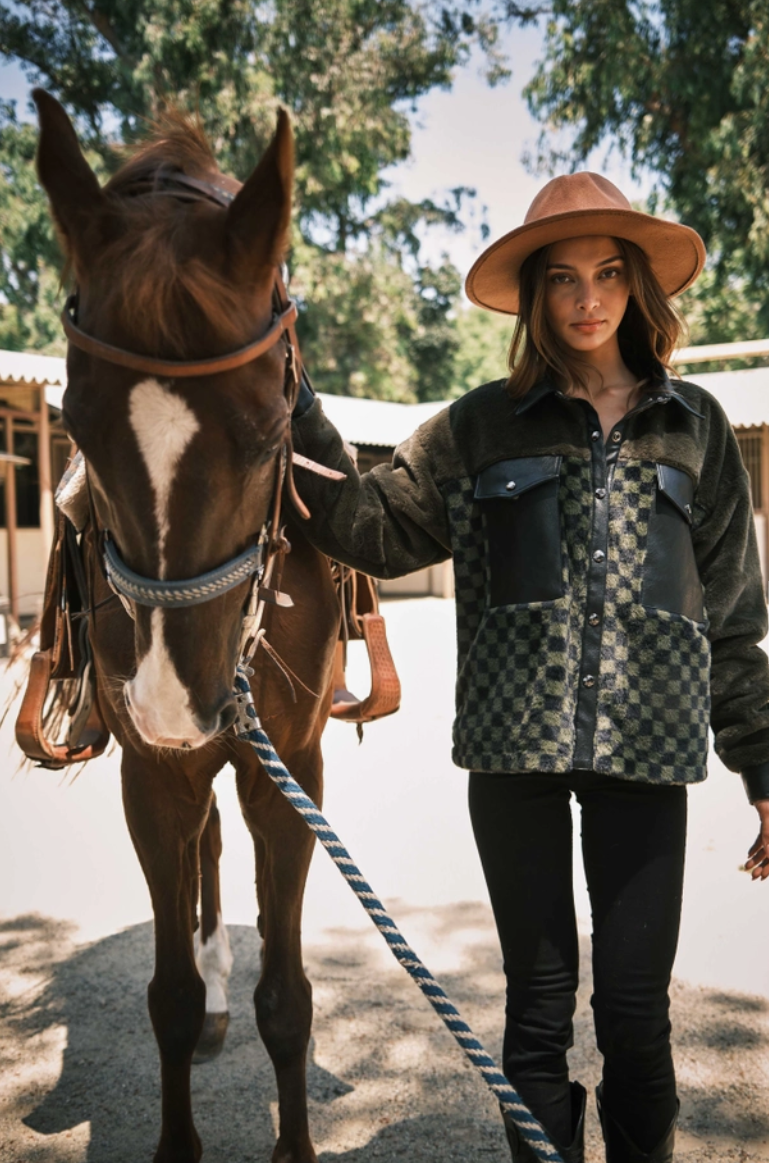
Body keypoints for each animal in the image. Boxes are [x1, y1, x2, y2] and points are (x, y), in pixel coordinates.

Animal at [33, 90, 339, 1163]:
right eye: (77, 428)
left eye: (268, 429)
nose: (173, 701)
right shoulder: (151, 772)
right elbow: (164, 995)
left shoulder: (289, 766)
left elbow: (287, 997)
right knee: (203, 848)